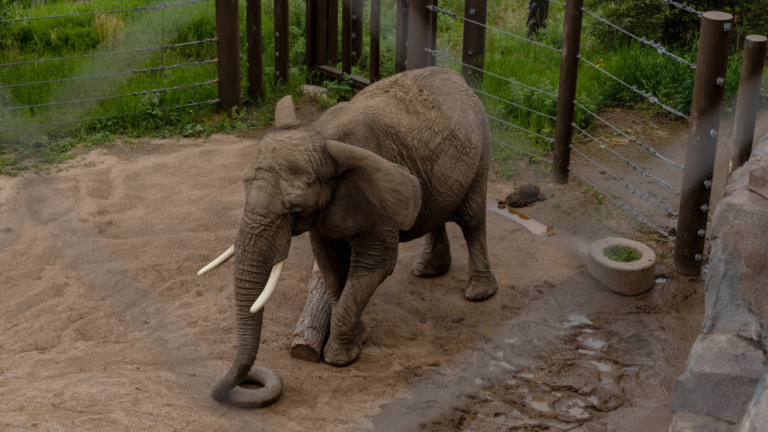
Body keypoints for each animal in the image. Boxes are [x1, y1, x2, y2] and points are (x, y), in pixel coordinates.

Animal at [199, 67, 499, 405]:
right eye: (243, 185)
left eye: (295, 209)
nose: (241, 384)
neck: (321, 134)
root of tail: (457, 76)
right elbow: (331, 266)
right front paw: (359, 338)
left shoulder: (376, 196)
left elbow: (375, 264)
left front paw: (340, 358)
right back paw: (428, 270)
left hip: (482, 146)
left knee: (472, 219)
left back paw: (478, 293)